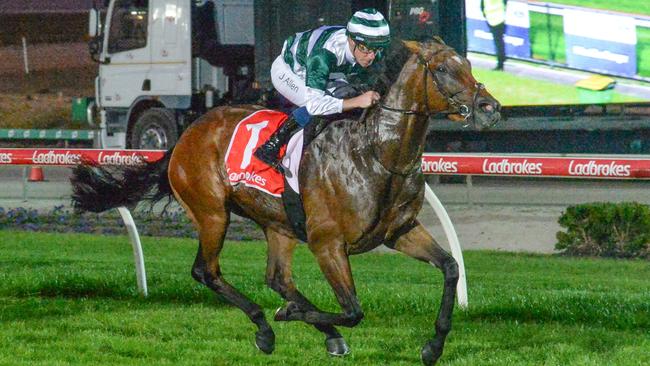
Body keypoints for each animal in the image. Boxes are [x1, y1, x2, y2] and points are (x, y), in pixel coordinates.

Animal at [71, 38, 498, 364]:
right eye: (442, 69)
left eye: (468, 63)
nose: (490, 108)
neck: (378, 153)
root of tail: (186, 135)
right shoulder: (328, 243)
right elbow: (353, 310)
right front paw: (294, 315)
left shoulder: (400, 231)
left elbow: (450, 268)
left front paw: (433, 345)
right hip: (212, 213)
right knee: (207, 271)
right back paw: (266, 327)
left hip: (278, 223)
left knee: (277, 277)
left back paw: (318, 331)